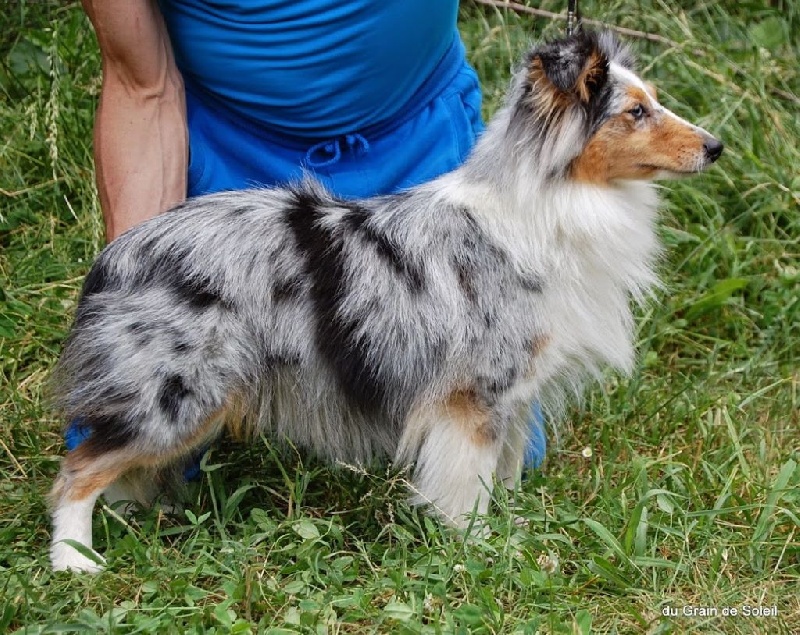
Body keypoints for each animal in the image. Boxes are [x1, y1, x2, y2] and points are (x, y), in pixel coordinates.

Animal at [50, 29, 724, 572]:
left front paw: (515, 530)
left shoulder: (513, 396)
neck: (551, 205)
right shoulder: (473, 398)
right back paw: (75, 561)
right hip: (178, 398)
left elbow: (504, 475)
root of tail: (119, 254)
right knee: (76, 471)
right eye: (635, 112)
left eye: (653, 100)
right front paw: (475, 549)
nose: (716, 146)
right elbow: (469, 485)